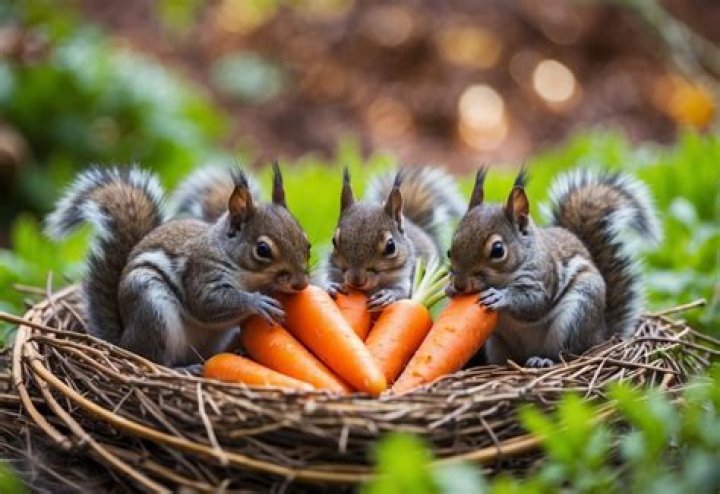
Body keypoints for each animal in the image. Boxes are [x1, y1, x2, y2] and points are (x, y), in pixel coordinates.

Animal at [45, 164, 310, 367]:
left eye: (307, 242)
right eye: (262, 250)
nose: (301, 284)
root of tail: (122, 343)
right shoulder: (200, 271)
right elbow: (208, 303)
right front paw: (257, 301)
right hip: (152, 310)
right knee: (153, 359)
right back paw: (184, 369)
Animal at [325, 166, 464, 310]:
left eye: (391, 246)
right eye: (334, 241)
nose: (356, 280)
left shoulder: (404, 278)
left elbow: (402, 291)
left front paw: (388, 295)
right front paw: (331, 286)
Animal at [447, 167, 661, 367]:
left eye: (498, 250)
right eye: (449, 251)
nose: (460, 285)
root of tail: (601, 336)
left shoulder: (543, 276)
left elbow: (533, 302)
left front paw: (500, 296)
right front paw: (449, 289)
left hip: (576, 316)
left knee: (565, 353)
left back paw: (542, 360)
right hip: (497, 344)